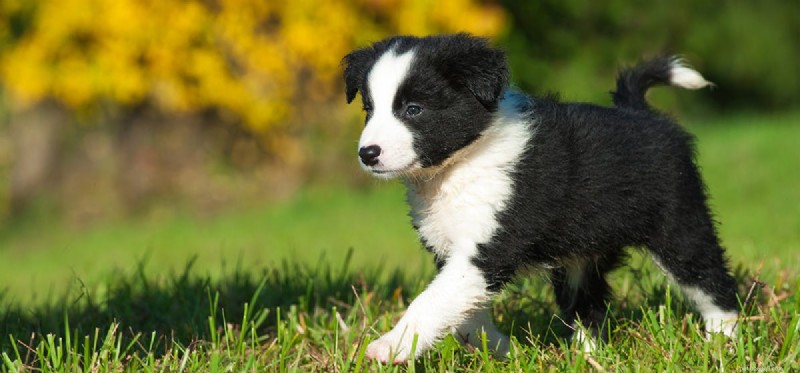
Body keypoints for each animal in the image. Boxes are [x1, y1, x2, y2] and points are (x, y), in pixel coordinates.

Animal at [340, 33, 740, 362]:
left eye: (413, 109)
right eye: (368, 110)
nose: (367, 153)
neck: (458, 166)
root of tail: (640, 112)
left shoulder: (489, 246)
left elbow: (432, 301)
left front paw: (388, 347)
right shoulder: (452, 250)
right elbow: (464, 314)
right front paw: (504, 350)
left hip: (678, 227)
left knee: (713, 285)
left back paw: (723, 344)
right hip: (581, 255)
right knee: (587, 306)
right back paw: (584, 356)